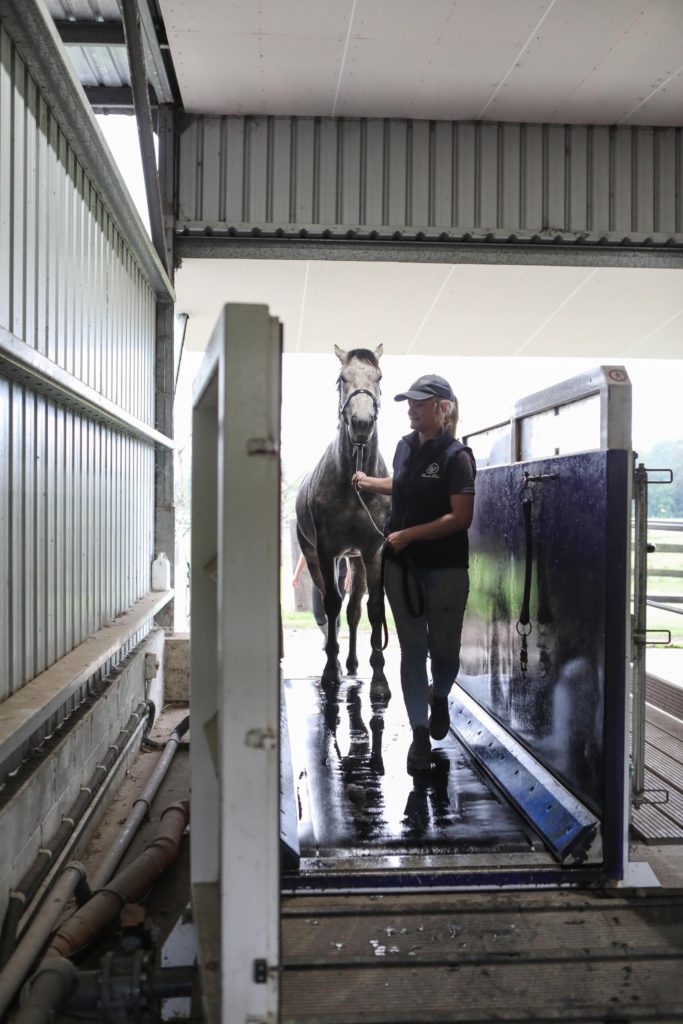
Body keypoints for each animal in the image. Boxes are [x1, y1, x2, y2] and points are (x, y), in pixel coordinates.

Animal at [295, 344, 391, 696]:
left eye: (378, 376)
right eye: (341, 378)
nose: (361, 423)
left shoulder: (374, 551)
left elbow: (373, 608)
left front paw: (380, 679)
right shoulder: (326, 550)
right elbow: (332, 605)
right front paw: (329, 673)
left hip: (356, 560)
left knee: (353, 611)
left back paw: (351, 663)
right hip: (317, 556)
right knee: (332, 606)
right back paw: (336, 661)